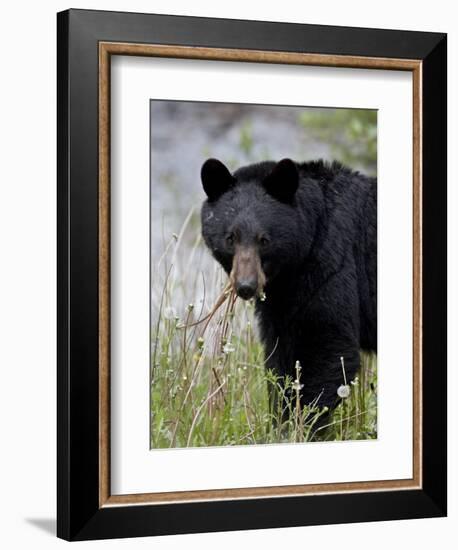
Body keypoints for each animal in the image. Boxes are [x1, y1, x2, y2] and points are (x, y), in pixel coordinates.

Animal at [199, 157, 376, 416]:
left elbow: (328, 346)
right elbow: (281, 355)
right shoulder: (282, 298)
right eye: (230, 238)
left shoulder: (331, 266)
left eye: (264, 240)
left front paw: (304, 420)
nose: (246, 286)